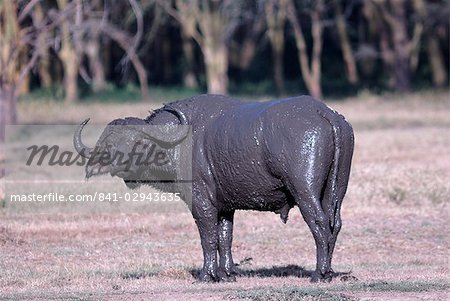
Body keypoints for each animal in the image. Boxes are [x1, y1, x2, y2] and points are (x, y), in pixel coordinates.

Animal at [74, 94, 356, 282]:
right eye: (110, 141)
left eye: (138, 141)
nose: (116, 161)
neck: (180, 143)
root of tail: (325, 114)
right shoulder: (225, 206)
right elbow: (225, 237)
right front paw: (228, 273)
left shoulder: (202, 203)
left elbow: (208, 238)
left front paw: (207, 274)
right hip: (335, 192)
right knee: (335, 223)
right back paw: (329, 271)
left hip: (305, 190)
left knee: (319, 222)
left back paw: (319, 273)